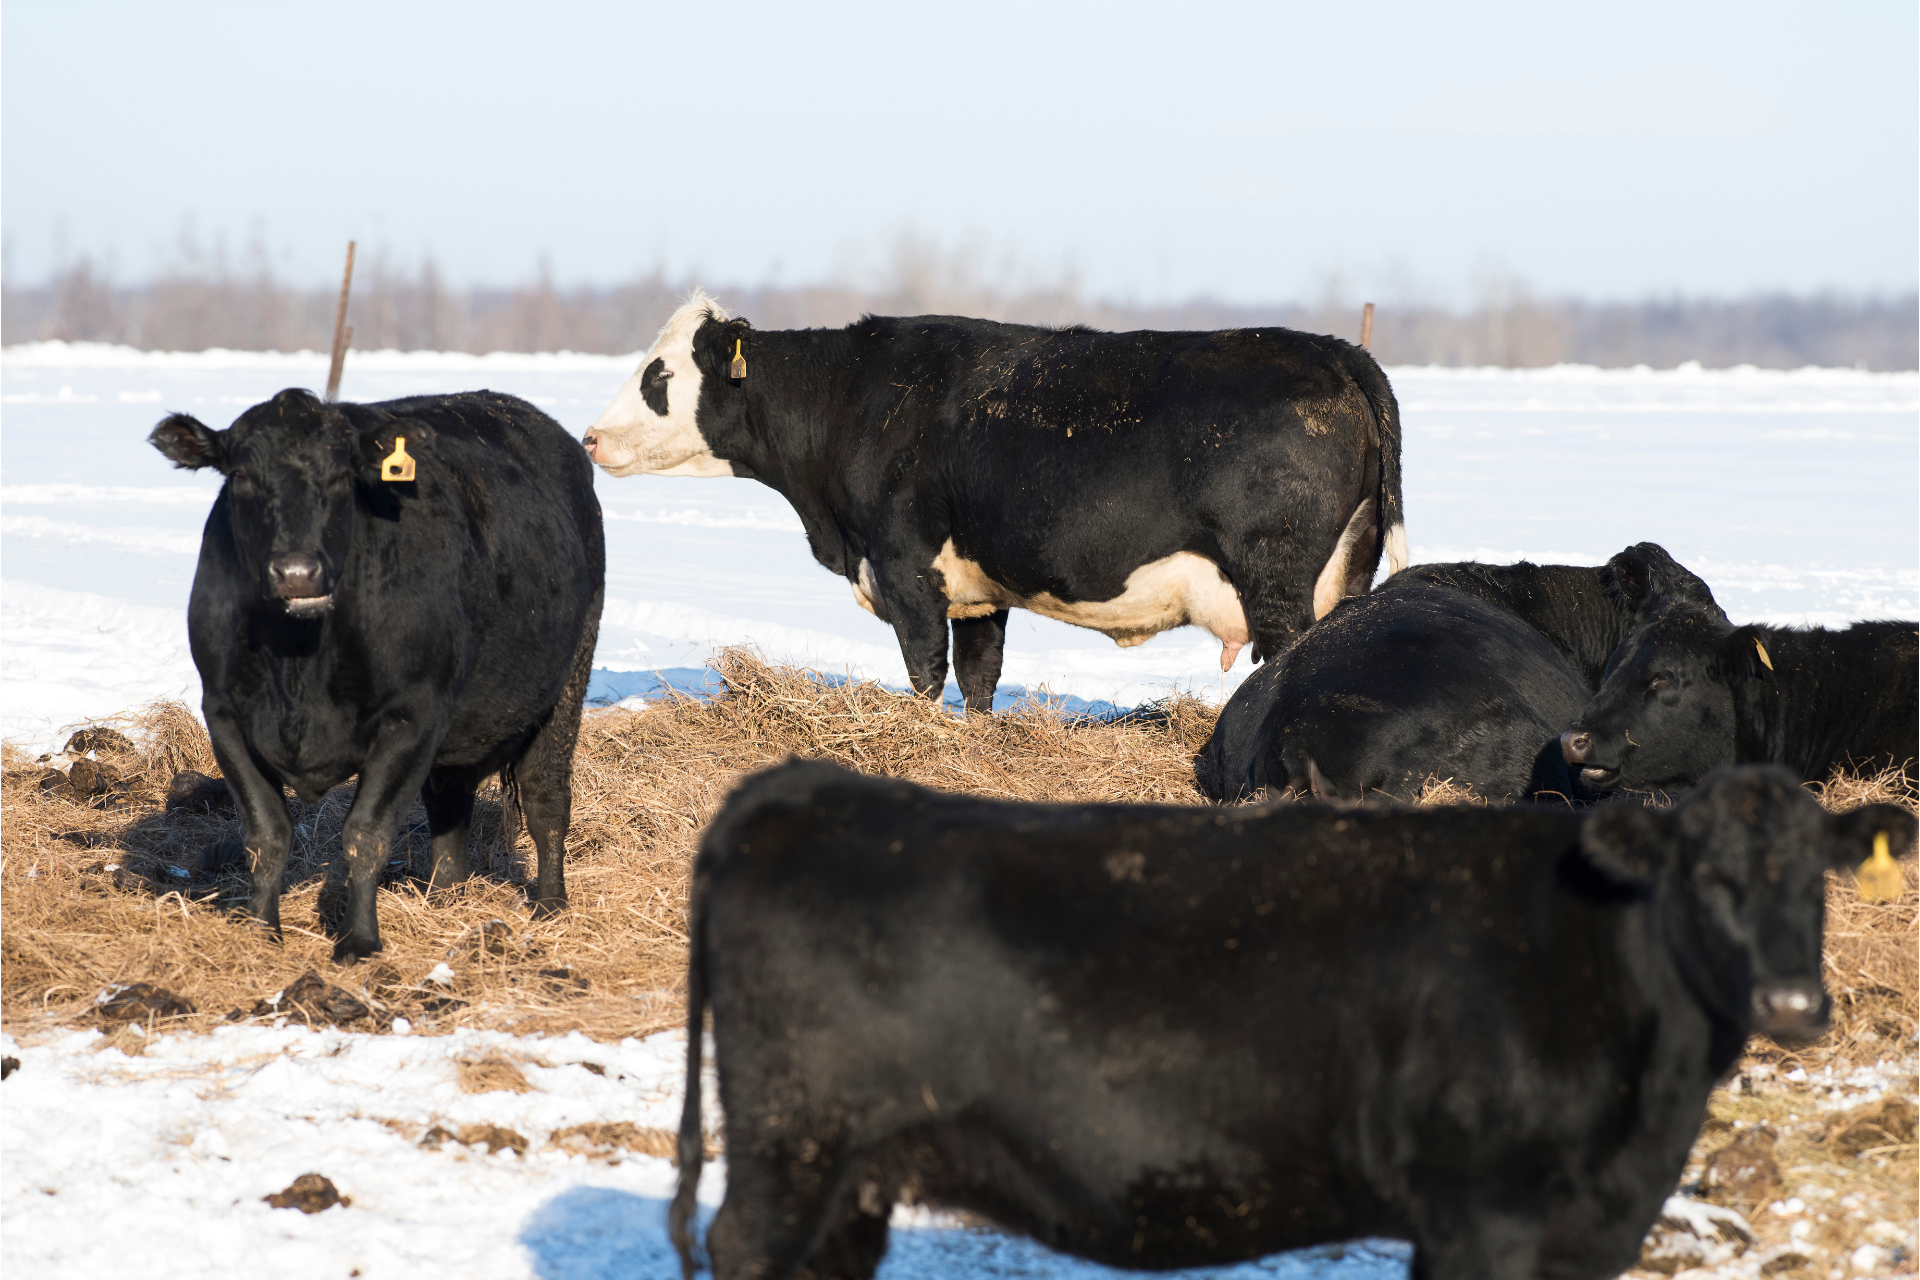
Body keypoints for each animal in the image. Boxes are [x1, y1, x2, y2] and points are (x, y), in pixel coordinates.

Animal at [148, 388, 605, 962]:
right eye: (243, 475)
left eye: (342, 476)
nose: (297, 573)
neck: (300, 662)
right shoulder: (225, 713)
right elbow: (265, 833)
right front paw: (260, 931)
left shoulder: (410, 715)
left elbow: (366, 833)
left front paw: (359, 940)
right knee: (449, 801)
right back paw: (444, 897)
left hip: (566, 682)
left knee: (545, 795)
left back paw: (549, 907)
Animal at [581, 293, 1405, 712]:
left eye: (659, 374)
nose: (589, 437)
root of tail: (1336, 350)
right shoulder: (978, 591)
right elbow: (980, 678)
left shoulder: (905, 567)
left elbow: (924, 671)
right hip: (1346, 570)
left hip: (1276, 580)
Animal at [668, 759, 1913, 1280]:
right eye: (1705, 874)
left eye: (1819, 880)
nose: (1795, 1001)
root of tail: (803, 783)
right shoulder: (1483, 1212)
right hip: (794, 1146)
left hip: (855, 1175)